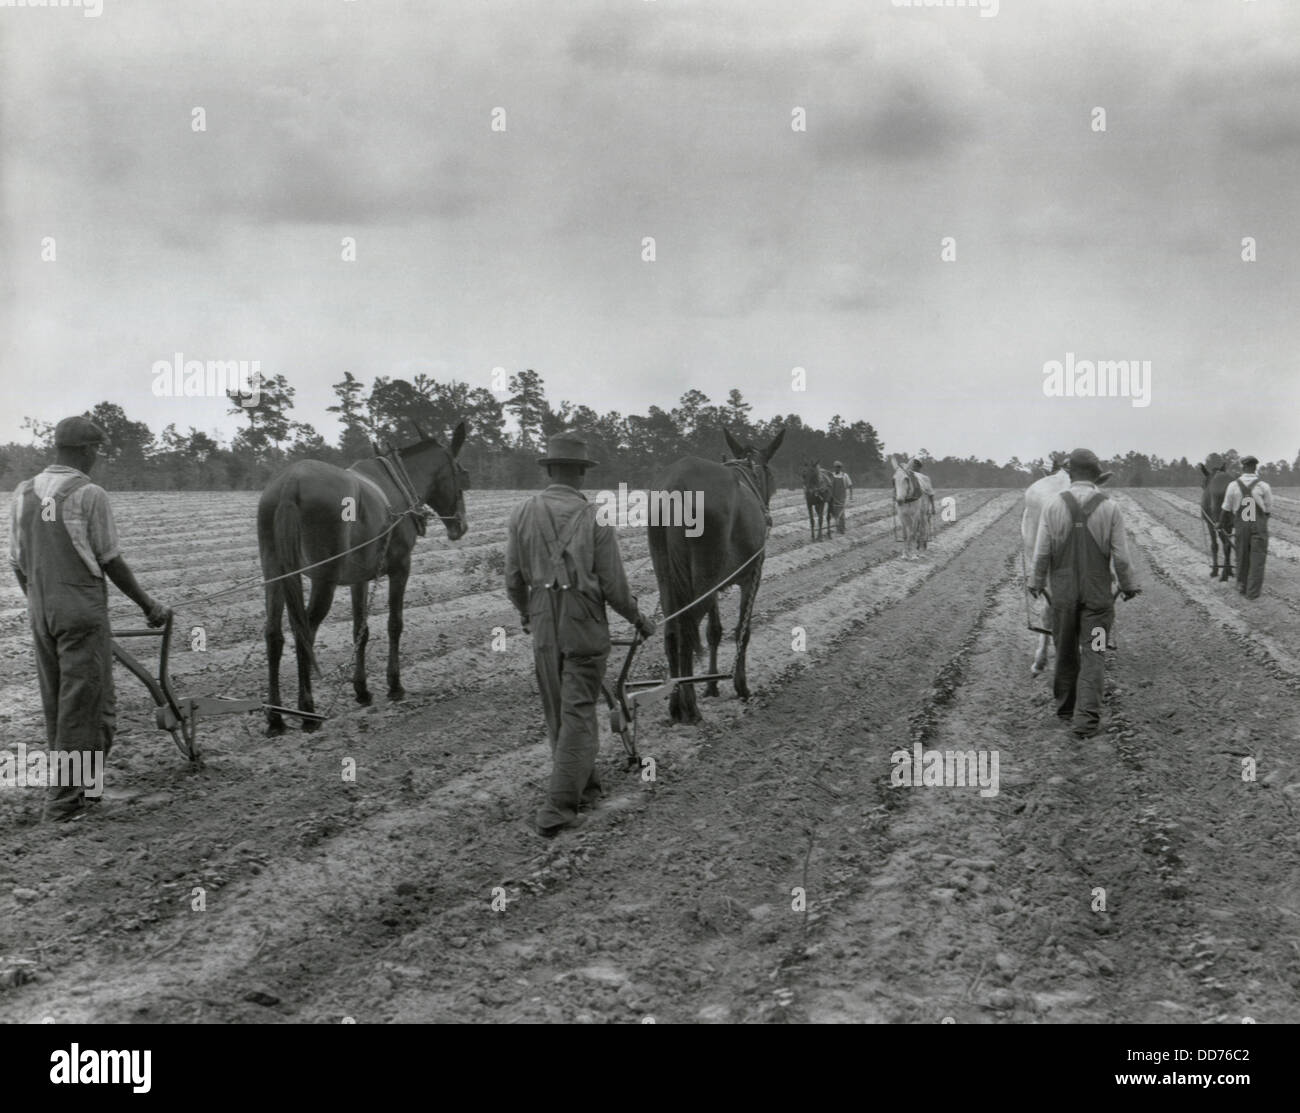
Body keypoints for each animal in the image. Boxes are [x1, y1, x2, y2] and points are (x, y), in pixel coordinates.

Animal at [256, 418, 470, 728]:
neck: (399, 482)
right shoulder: (401, 567)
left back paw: (275, 718)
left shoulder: (359, 580)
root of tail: (289, 484)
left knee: (273, 633)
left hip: (274, 571)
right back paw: (307, 711)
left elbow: (361, 629)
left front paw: (362, 690)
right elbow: (395, 623)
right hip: (324, 579)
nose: (460, 526)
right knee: (304, 630)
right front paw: (394, 685)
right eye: (460, 473)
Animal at [647, 423, 785, 722]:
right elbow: (741, 630)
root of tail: (676, 485)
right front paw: (740, 685)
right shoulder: (752, 575)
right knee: (686, 631)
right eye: (770, 473)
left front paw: (711, 685)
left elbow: (714, 631)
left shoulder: (716, 585)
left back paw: (675, 702)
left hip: (671, 579)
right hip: (704, 577)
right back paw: (689, 706)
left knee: (672, 632)